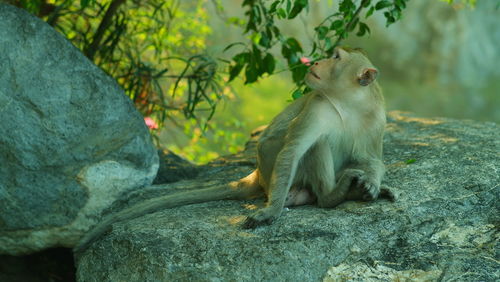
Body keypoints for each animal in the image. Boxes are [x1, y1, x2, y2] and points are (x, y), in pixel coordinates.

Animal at [73, 46, 394, 253]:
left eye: (335, 58)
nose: (315, 63)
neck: (348, 103)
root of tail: (258, 175)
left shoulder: (377, 116)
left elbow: (371, 158)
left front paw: (371, 185)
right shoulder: (316, 106)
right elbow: (293, 150)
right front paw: (271, 212)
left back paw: (345, 191)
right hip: (273, 169)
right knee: (317, 144)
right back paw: (330, 196)